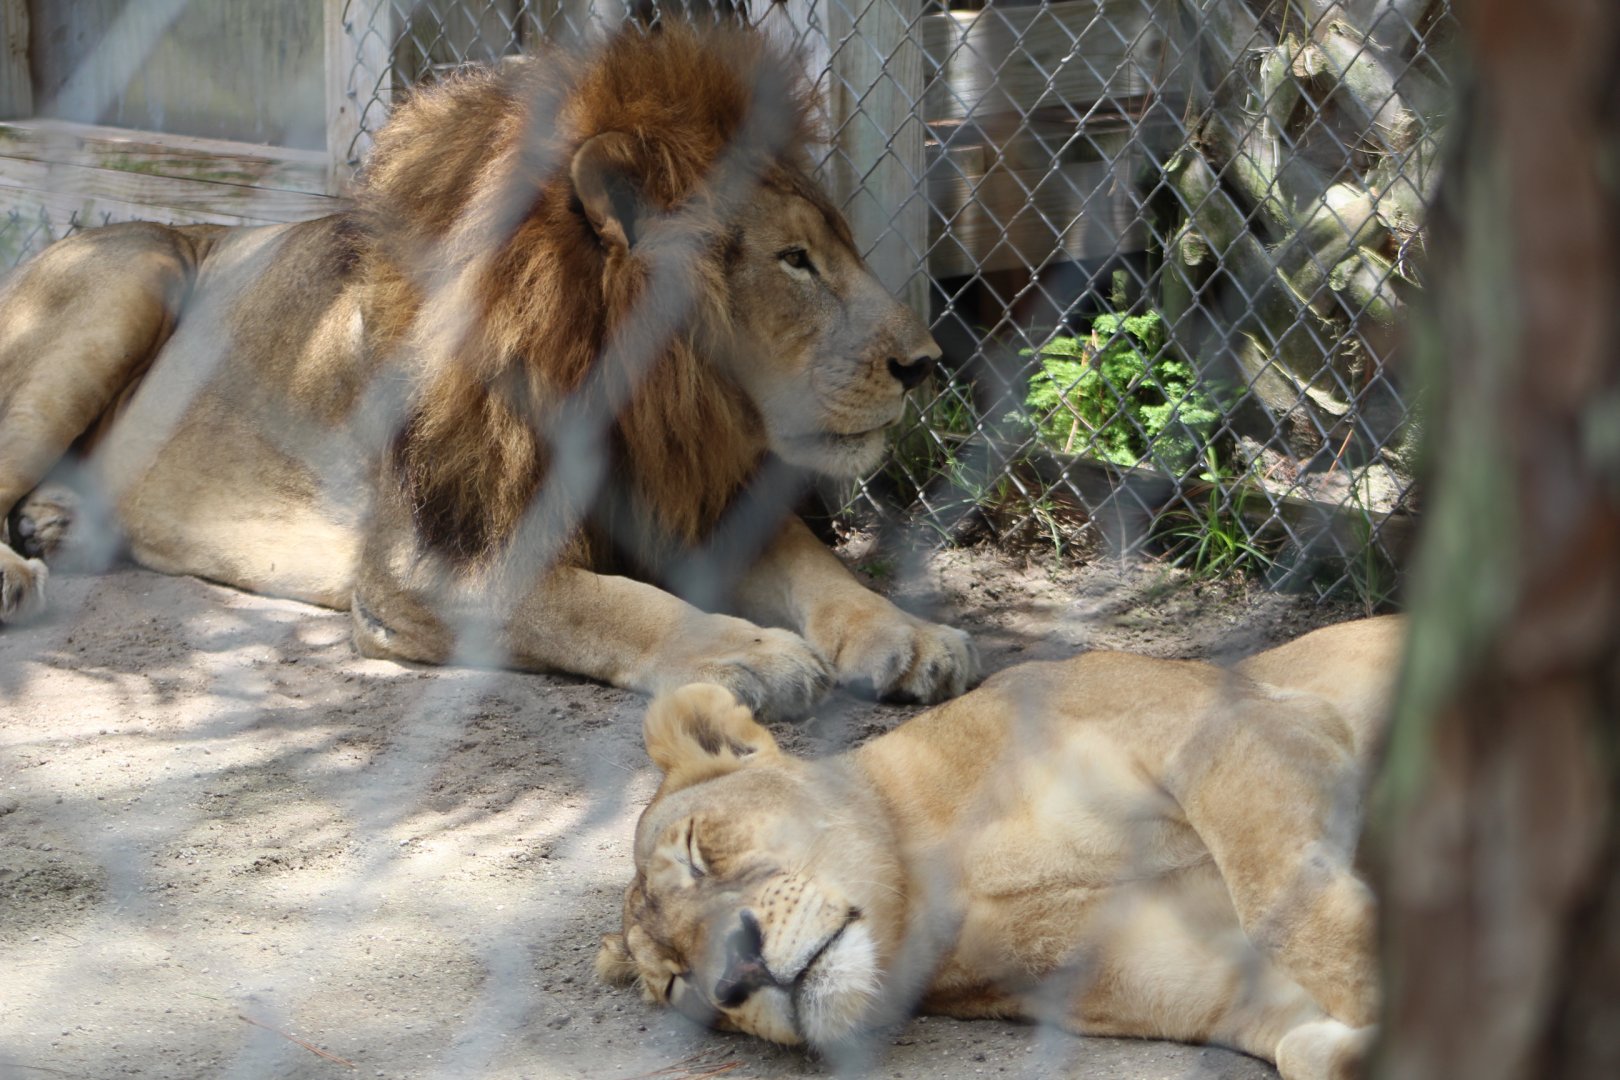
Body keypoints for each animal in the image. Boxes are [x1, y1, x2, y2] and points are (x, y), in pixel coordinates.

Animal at [0, 25, 974, 717]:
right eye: (794, 261)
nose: (926, 364)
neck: (631, 398)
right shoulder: (422, 564)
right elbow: (603, 604)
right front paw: (748, 652)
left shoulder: (688, 500)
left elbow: (822, 572)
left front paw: (915, 637)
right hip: (138, 271)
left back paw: (60, 522)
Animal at [597, 616, 1405, 1080]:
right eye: (676, 986)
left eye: (698, 850)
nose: (735, 981)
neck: (947, 884)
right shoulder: (1234, 992)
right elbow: (1305, 1048)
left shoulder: (1243, 722)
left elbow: (1287, 908)